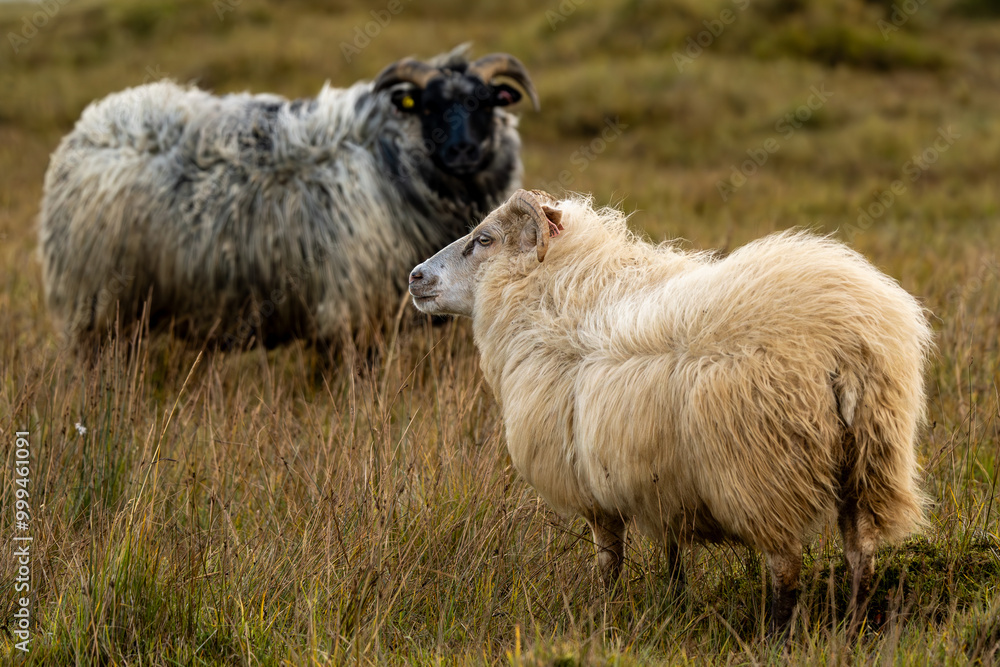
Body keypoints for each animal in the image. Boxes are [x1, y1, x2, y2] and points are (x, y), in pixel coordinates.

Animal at [39, 45, 538, 351]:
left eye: (486, 102)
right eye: (429, 106)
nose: (464, 151)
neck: (389, 160)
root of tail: (87, 128)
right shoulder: (351, 309)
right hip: (98, 303)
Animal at [408, 189, 932, 634]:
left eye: (483, 239)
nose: (415, 277)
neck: (546, 297)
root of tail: (846, 341)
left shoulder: (593, 485)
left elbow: (609, 558)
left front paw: (602, 612)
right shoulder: (659, 477)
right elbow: (673, 554)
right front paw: (674, 601)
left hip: (765, 472)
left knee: (785, 569)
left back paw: (777, 637)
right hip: (869, 458)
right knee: (861, 553)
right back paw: (853, 627)